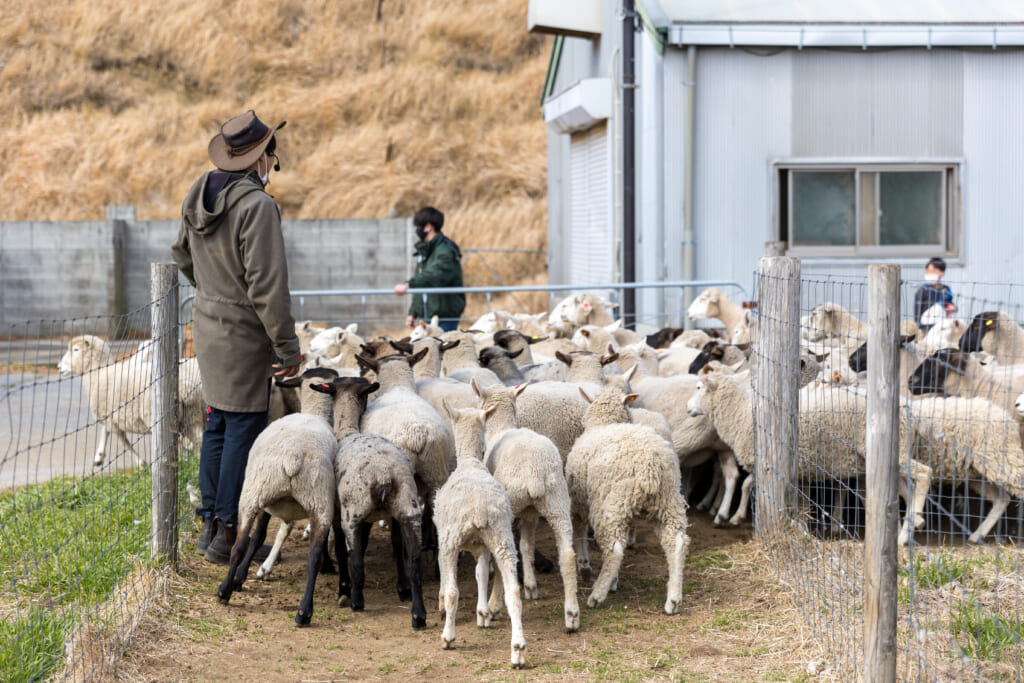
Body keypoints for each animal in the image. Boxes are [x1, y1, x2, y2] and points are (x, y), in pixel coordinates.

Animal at [214, 368, 342, 626]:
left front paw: (240, 578)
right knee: (314, 553)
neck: (314, 412)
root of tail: (293, 457)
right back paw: (304, 611)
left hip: (254, 494)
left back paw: (225, 591)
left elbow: (258, 537)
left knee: (240, 544)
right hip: (318, 501)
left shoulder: (267, 504)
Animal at [309, 374, 425, 630]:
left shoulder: (339, 512)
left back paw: (356, 601)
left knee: (356, 562)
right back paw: (418, 615)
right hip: (408, 509)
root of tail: (383, 473)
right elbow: (394, 546)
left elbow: (343, 550)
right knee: (414, 561)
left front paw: (343, 588)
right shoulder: (381, 518)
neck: (348, 431)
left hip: (353, 512)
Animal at [434, 405, 524, 667]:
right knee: (514, 592)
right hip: (502, 537)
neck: (470, 462)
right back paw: (518, 650)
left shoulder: (443, 539)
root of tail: (479, 509)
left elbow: (447, 580)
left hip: (452, 540)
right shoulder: (482, 547)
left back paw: (448, 637)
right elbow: (481, 573)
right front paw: (483, 613)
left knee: (453, 592)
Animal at [475, 382, 581, 634]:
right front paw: (532, 586)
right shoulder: (530, 515)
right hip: (557, 502)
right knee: (567, 555)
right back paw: (572, 615)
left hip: (509, 509)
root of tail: (535, 472)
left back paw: (494, 606)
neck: (501, 427)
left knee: (505, 559)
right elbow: (527, 546)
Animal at [565, 385, 692, 614]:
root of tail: (650, 464)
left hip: (612, 503)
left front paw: (585, 565)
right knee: (676, 541)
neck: (605, 423)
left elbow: (579, 531)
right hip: (667, 499)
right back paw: (673, 600)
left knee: (614, 548)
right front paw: (614, 581)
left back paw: (597, 595)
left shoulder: (578, 501)